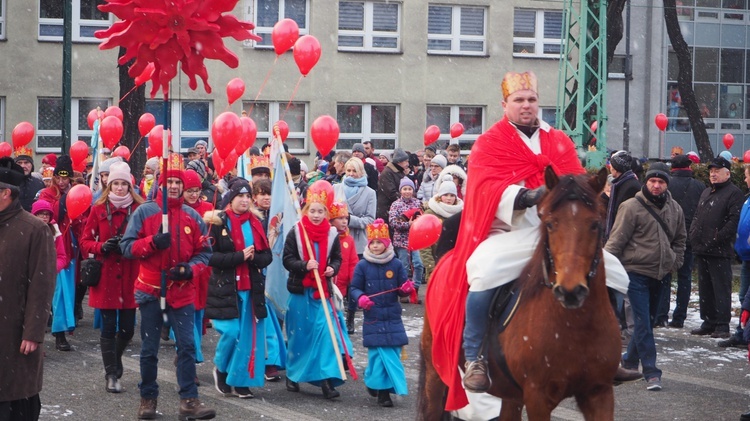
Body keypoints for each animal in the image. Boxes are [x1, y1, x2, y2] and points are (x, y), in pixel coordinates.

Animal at [424, 167, 624, 420]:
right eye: (550, 224)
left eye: (595, 224)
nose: (570, 291)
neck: (576, 326)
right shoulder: (537, 396)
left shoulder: (599, 392)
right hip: (435, 370)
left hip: (511, 394)